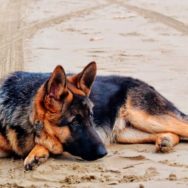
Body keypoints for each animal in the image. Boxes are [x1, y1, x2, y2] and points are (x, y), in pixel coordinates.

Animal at [0, 62, 188, 170]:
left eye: (91, 117)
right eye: (75, 122)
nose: (104, 153)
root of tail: (143, 83)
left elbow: (49, 142)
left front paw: (38, 152)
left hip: (146, 118)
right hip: (127, 134)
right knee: (173, 134)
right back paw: (166, 140)